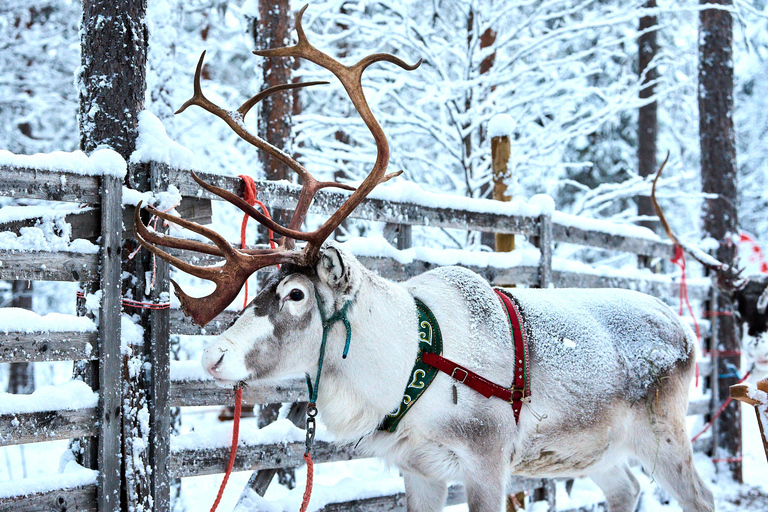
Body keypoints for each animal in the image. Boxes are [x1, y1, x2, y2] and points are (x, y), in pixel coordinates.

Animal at [134, 7, 715, 512]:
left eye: (296, 294)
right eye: (264, 287)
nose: (213, 356)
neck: (402, 366)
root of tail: (683, 328)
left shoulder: (486, 461)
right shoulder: (419, 470)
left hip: (665, 433)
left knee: (700, 497)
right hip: (594, 451)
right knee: (626, 489)